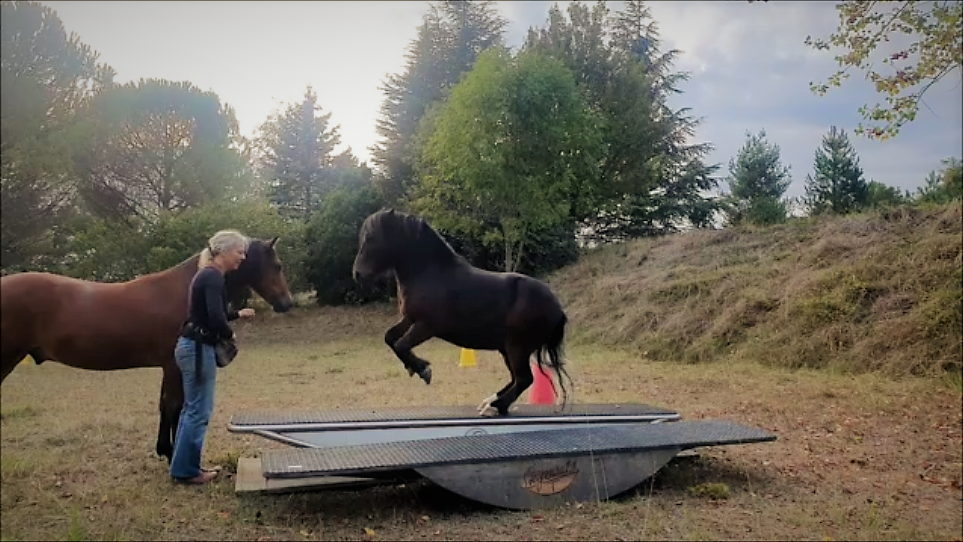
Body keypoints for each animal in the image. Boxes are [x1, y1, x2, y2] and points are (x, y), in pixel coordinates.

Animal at [0, 237, 294, 461]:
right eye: (278, 265)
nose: (287, 303)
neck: (186, 289)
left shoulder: (170, 367)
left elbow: (168, 405)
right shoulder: (173, 366)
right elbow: (173, 406)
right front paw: (170, 453)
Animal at [351, 208, 571, 417]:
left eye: (371, 237)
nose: (357, 274)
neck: (430, 273)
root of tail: (557, 308)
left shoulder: (426, 326)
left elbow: (401, 345)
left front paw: (423, 369)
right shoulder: (409, 319)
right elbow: (390, 338)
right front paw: (415, 366)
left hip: (516, 347)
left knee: (524, 378)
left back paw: (494, 406)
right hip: (507, 348)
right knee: (516, 378)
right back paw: (491, 401)